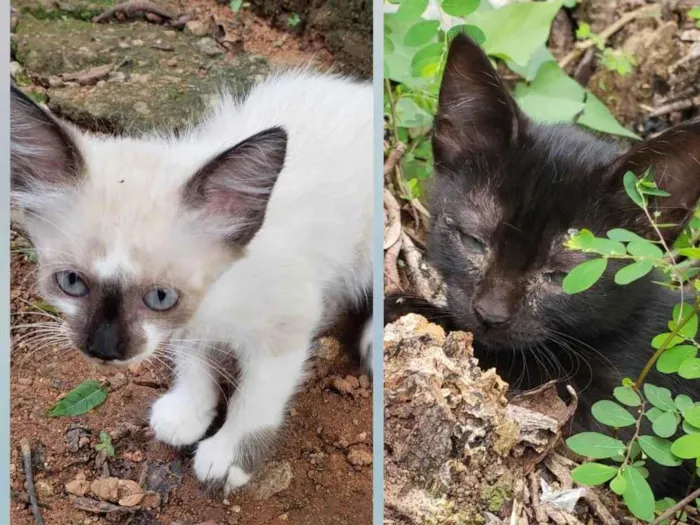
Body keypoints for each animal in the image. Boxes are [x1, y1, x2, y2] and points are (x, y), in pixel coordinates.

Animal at [10, 69, 372, 492]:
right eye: (70, 282)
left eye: (160, 297)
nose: (103, 349)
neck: (217, 300)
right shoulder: (187, 329)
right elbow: (196, 364)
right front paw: (187, 414)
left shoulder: (286, 325)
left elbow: (255, 400)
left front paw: (228, 456)